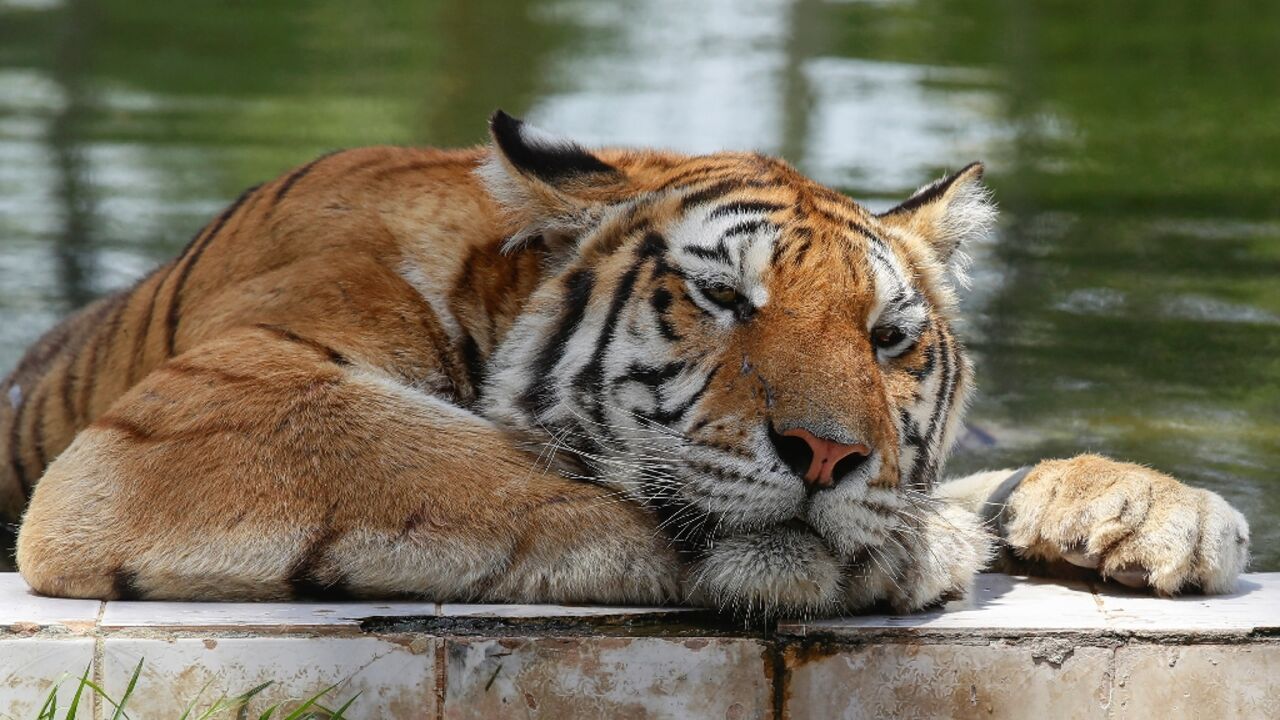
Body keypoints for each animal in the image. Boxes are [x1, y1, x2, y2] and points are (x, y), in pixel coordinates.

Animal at [2, 109, 1249, 614]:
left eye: (886, 340)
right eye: (721, 298)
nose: (826, 455)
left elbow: (967, 483)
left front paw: (1161, 512)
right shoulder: (212, 412)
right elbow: (490, 477)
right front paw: (906, 552)